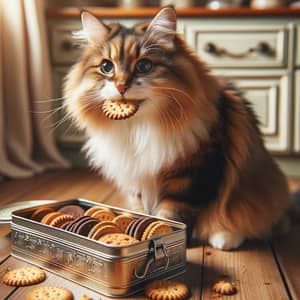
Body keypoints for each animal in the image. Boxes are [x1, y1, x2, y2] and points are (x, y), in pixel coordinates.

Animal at [64, 7, 292, 251]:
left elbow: (173, 215)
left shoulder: (189, 177)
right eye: (106, 67)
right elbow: (144, 210)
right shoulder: (136, 177)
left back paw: (225, 238)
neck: (138, 129)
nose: (122, 87)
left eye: (144, 66)